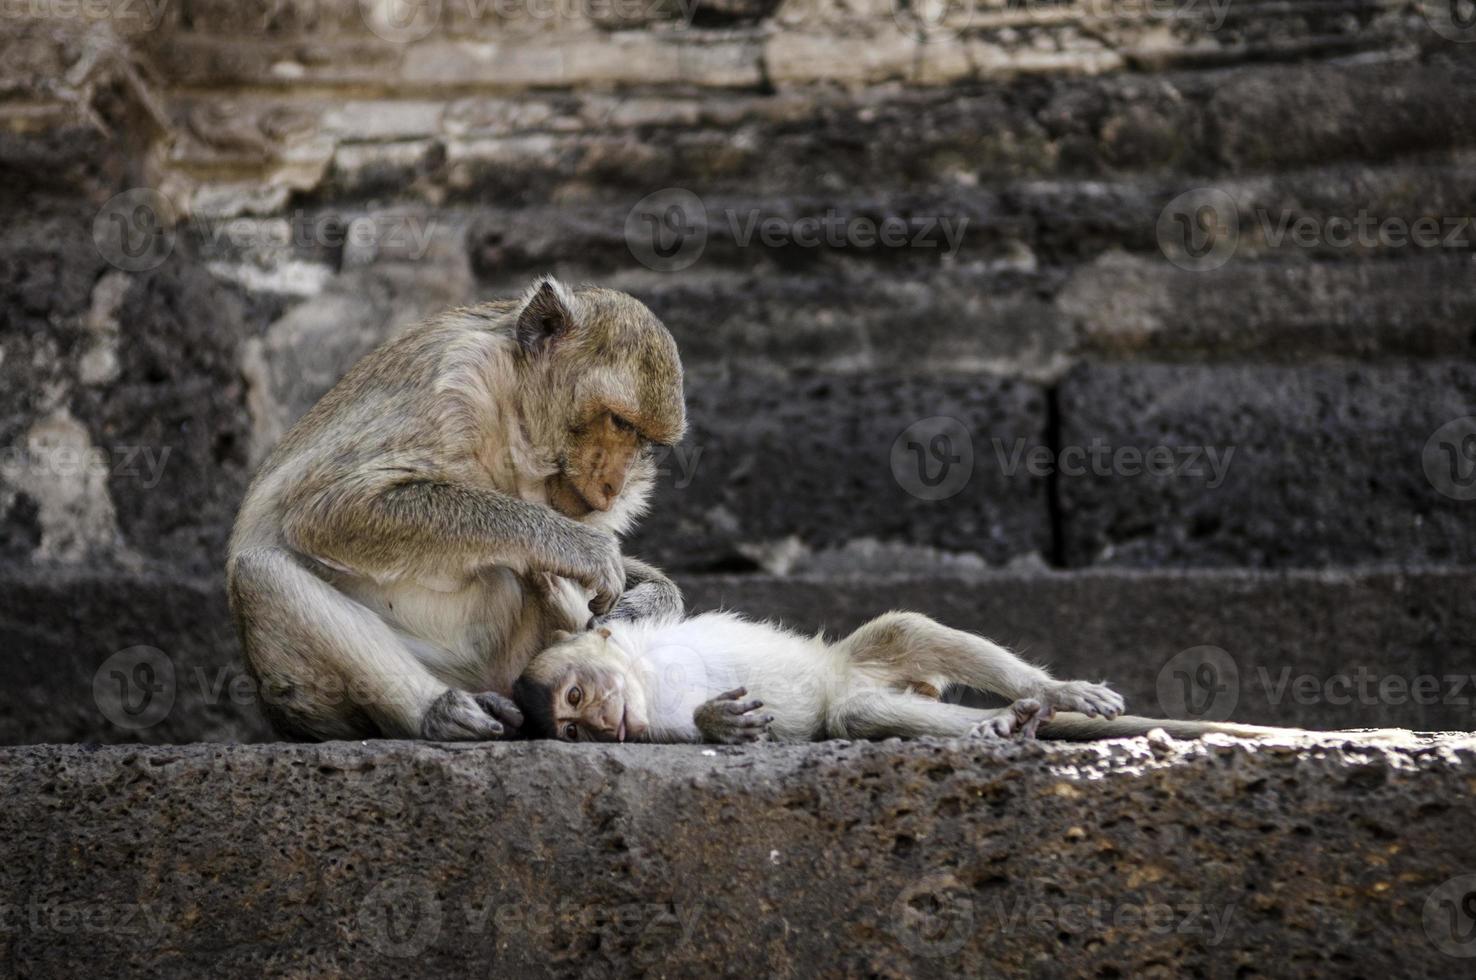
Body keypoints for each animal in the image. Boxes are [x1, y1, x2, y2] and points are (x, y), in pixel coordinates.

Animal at [227, 273, 687, 735]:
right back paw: (440, 712)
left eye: (644, 441)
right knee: (260, 573)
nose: (615, 485)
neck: (511, 420)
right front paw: (576, 547)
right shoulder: (452, 382)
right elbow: (332, 509)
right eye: (619, 422)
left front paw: (651, 602)